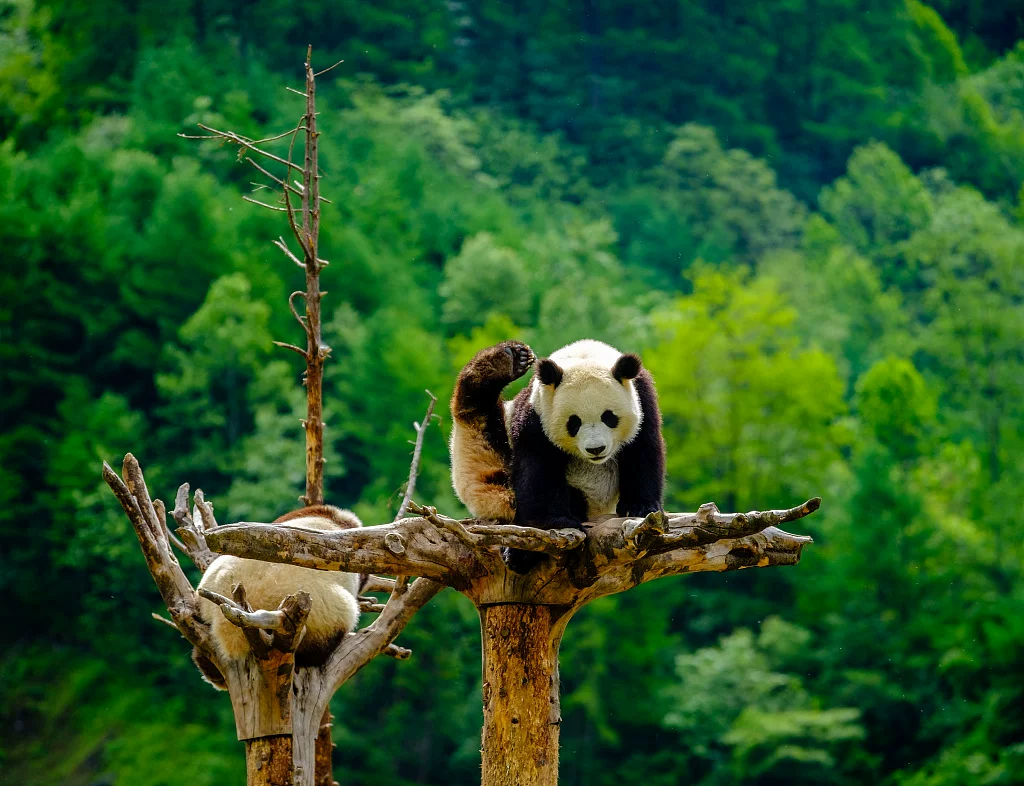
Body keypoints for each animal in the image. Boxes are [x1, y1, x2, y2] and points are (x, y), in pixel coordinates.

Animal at [450, 339, 665, 573]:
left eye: (609, 417)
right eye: (574, 423)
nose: (596, 449)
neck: (584, 355)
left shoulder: (642, 397)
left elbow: (643, 449)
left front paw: (639, 506)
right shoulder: (536, 412)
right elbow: (538, 468)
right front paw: (556, 522)